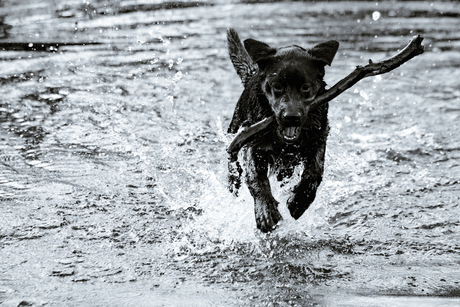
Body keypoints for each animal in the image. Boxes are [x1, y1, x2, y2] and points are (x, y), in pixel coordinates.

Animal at [226, 28, 338, 232]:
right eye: (277, 86)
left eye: (305, 87)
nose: (291, 117)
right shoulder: (253, 146)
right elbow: (256, 180)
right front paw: (265, 211)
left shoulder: (318, 140)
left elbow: (314, 173)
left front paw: (299, 201)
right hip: (235, 134)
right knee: (233, 164)